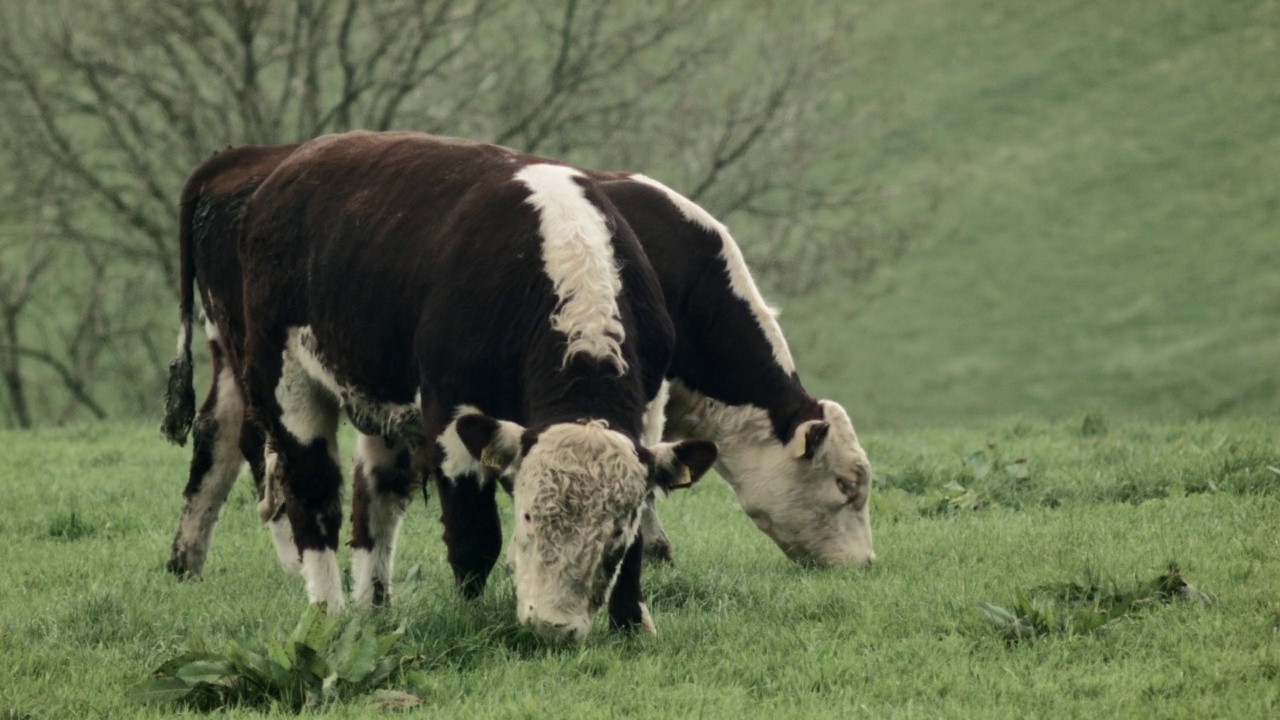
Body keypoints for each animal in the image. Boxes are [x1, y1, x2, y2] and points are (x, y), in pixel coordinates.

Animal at [235, 131, 716, 635]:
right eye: (527, 516)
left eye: (614, 533)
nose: (553, 625)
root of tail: (301, 158)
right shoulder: (450, 408)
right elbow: (475, 534)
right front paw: (469, 617)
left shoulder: (648, 411)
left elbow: (641, 536)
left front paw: (632, 624)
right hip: (285, 377)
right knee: (313, 493)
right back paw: (328, 612)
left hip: (381, 405)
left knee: (376, 501)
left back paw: (375, 609)